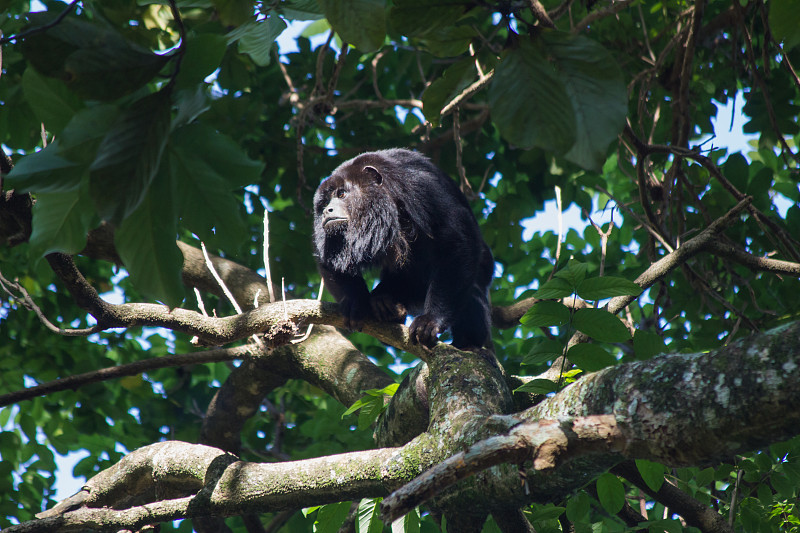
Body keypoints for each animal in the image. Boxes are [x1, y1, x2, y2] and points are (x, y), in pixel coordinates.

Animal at [312, 148, 494, 352]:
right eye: (324, 202)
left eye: (342, 194)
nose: (326, 210)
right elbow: (328, 260)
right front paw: (355, 302)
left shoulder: (422, 186)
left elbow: (457, 241)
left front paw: (431, 321)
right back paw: (386, 306)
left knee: (473, 288)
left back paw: (469, 342)